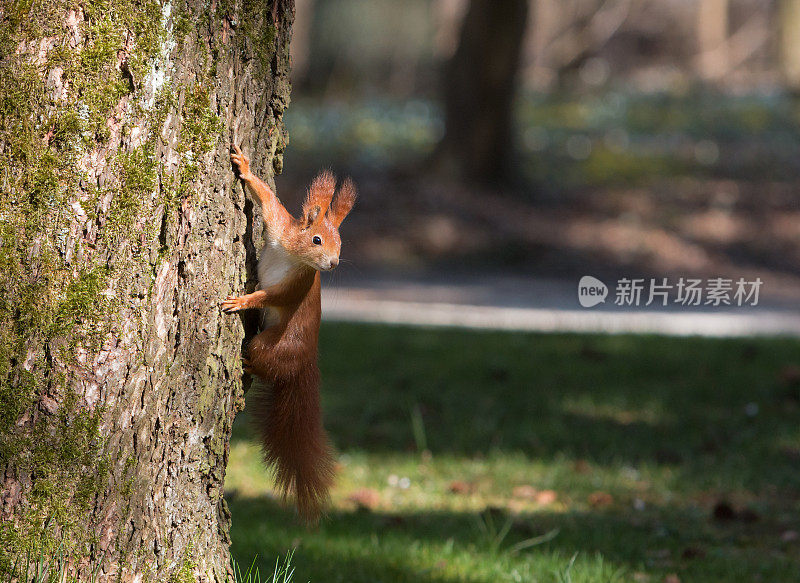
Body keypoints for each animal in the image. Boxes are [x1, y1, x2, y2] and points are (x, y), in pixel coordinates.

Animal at [222, 144, 354, 524]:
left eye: (341, 243)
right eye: (317, 239)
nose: (333, 264)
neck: (293, 256)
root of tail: (304, 362)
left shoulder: (297, 286)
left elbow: (273, 297)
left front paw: (244, 300)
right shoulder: (278, 227)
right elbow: (267, 199)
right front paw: (244, 167)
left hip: (272, 344)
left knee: (261, 361)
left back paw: (247, 364)